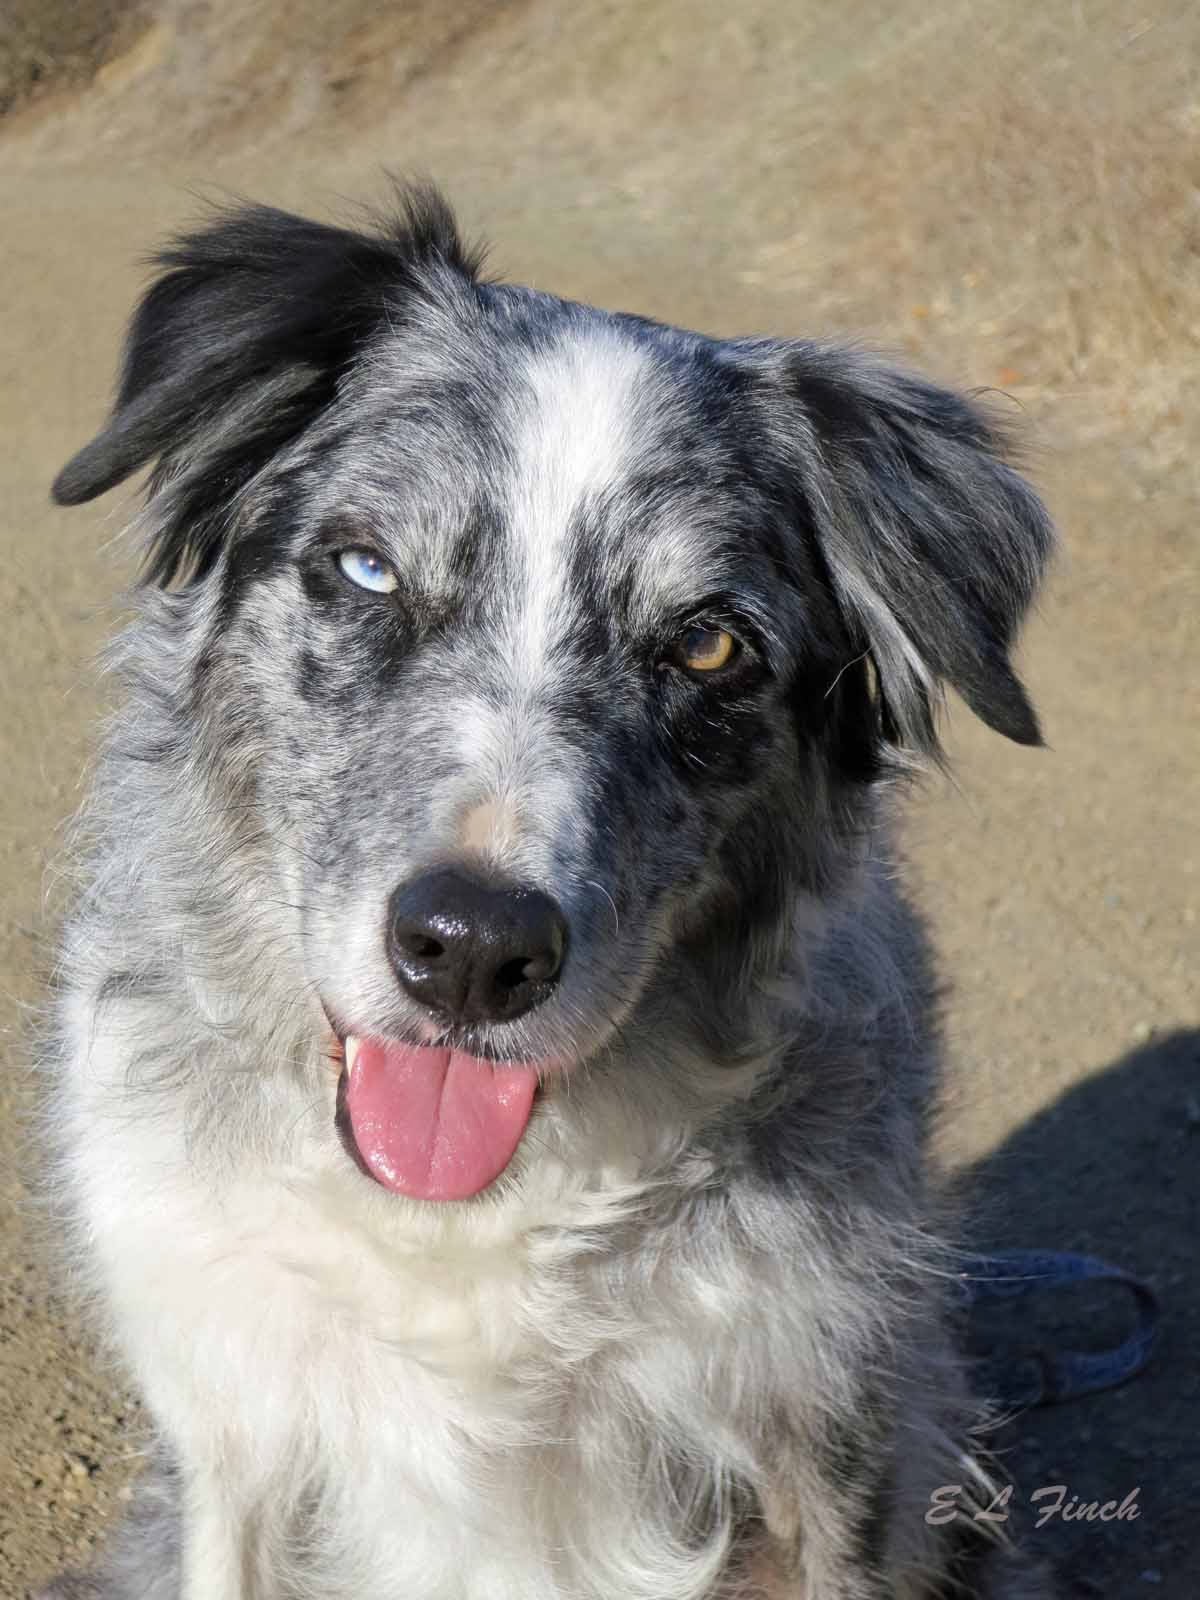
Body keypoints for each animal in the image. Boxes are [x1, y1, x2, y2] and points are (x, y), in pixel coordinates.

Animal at [39, 186, 1057, 1599]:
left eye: (708, 642)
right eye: (365, 569)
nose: (473, 950)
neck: (462, 1221)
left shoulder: (833, 1433)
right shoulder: (229, 1427)